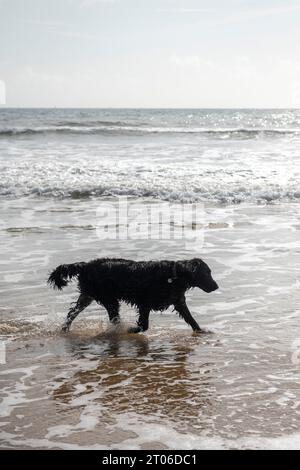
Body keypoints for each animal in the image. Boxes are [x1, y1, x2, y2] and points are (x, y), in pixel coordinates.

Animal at [48, 258, 218, 334]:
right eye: (206, 273)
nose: (216, 286)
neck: (173, 276)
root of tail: (85, 265)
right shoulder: (144, 303)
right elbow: (144, 325)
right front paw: (132, 329)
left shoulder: (179, 302)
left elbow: (191, 319)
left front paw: (201, 331)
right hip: (108, 299)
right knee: (113, 318)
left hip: (87, 296)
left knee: (72, 313)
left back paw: (64, 329)